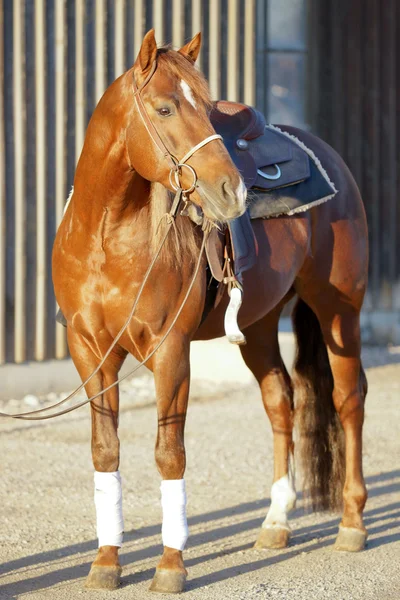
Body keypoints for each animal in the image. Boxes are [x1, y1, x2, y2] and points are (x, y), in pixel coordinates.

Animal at [52, 30, 368, 592]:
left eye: (205, 106)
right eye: (164, 107)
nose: (232, 190)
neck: (106, 240)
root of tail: (327, 155)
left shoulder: (170, 351)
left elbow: (169, 453)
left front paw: (171, 566)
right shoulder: (90, 353)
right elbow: (105, 450)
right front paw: (106, 562)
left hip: (339, 312)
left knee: (348, 401)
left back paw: (351, 524)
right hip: (259, 327)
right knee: (280, 402)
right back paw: (275, 523)